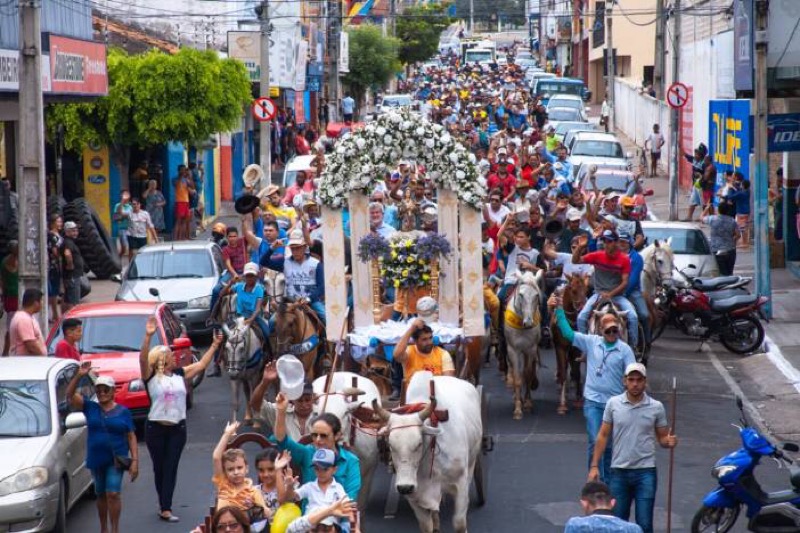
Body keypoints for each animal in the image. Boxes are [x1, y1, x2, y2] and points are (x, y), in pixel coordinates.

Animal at [552, 274, 592, 416]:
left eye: (586, 290)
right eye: (573, 290)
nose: (583, 308)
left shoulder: (576, 349)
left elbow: (577, 372)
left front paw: (579, 399)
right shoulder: (560, 347)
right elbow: (564, 372)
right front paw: (562, 405)